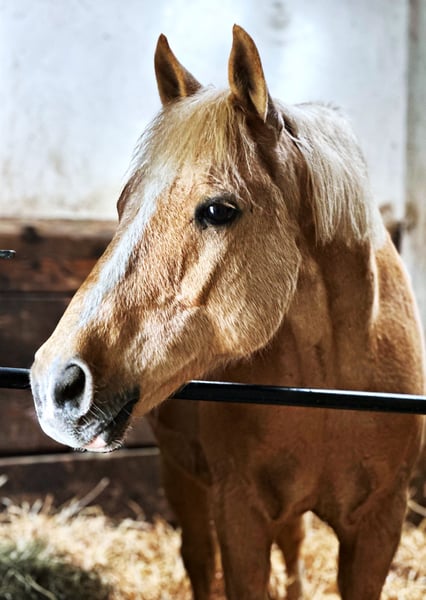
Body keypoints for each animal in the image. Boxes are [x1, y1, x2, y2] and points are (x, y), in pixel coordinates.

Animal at [30, 25, 425, 600]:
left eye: (218, 210)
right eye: (124, 204)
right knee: (199, 558)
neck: (332, 390)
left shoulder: (377, 528)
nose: (53, 385)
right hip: (184, 479)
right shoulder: (239, 515)